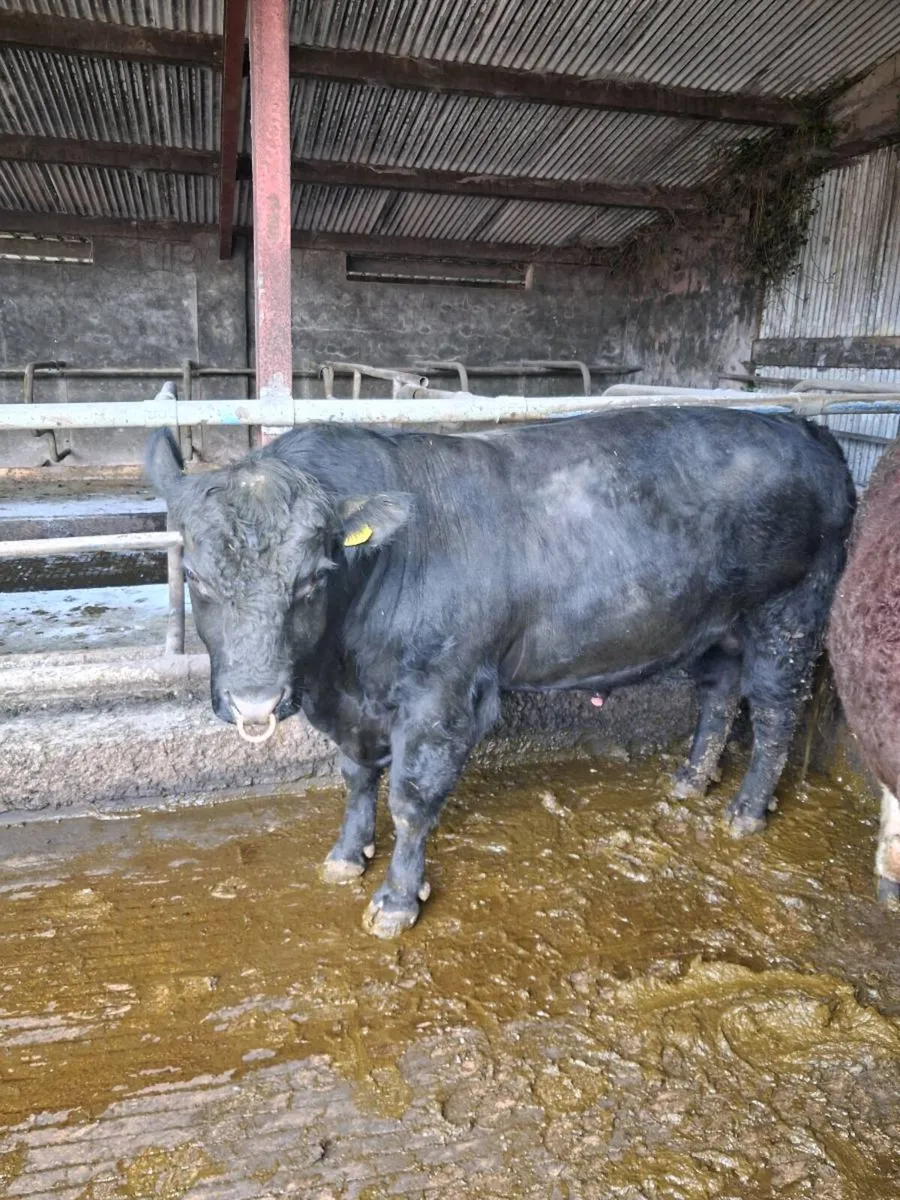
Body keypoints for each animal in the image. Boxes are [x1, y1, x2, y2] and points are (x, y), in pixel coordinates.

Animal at [146, 407, 855, 937]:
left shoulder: (441, 693)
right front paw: (347, 856)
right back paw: (691, 781)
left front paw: (397, 901)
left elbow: (411, 799)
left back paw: (747, 809)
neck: (342, 670)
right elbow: (354, 777)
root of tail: (805, 428)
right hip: (717, 622)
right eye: (198, 578)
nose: (256, 702)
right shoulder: (353, 708)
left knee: (777, 707)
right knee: (720, 692)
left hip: (792, 610)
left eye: (313, 579)